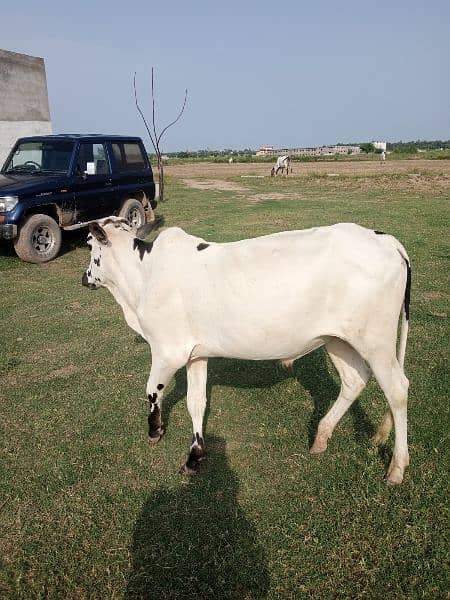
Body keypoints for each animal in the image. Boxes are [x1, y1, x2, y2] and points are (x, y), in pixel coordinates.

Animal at [81, 218, 412, 486]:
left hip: (377, 341)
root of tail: (385, 239)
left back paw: (397, 467)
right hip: (337, 339)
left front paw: (155, 431)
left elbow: (152, 391)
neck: (144, 276)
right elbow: (196, 403)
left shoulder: (168, 351)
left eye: (90, 246)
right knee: (355, 380)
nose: (84, 277)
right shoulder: (196, 355)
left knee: (397, 389)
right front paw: (194, 455)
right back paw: (321, 437)